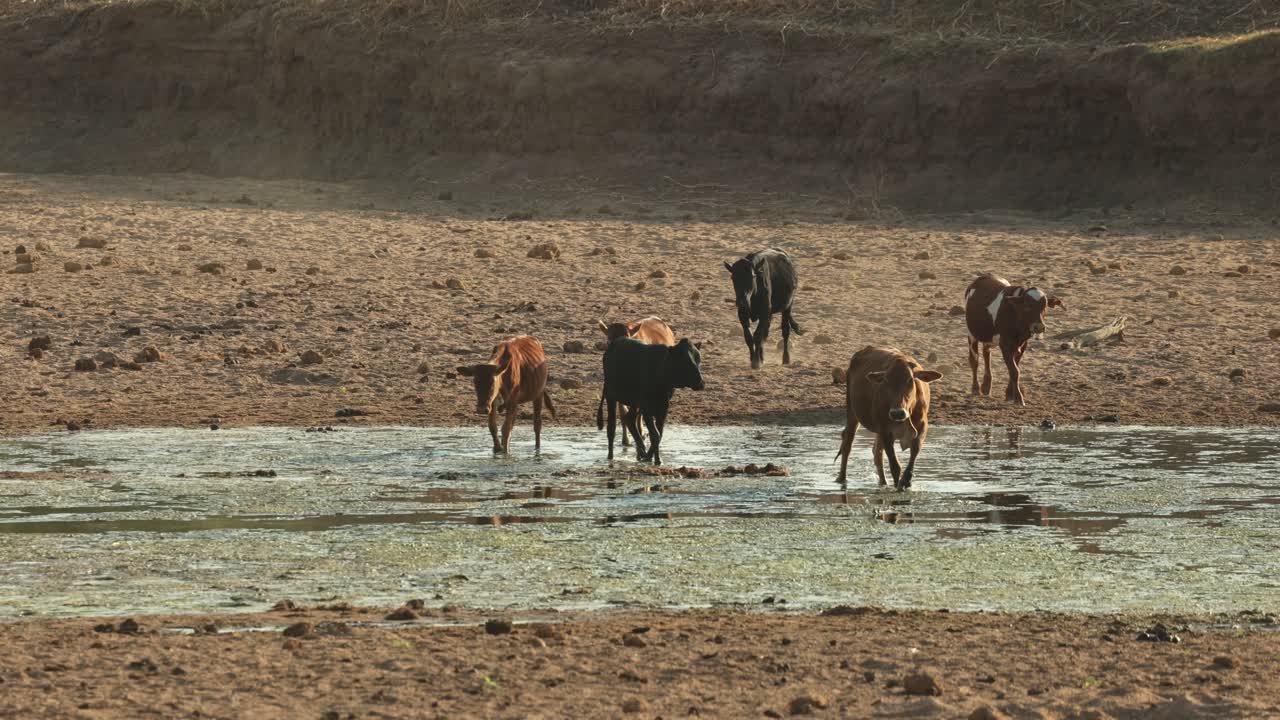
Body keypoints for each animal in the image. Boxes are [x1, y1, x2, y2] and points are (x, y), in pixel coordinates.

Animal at [835, 346, 942, 491]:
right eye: (885, 381)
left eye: (910, 380)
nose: (897, 413)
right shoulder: (886, 431)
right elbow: (895, 466)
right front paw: (897, 487)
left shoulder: (922, 428)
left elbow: (914, 452)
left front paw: (906, 481)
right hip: (852, 412)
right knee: (848, 445)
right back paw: (842, 479)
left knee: (877, 454)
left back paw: (883, 483)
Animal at [964, 273, 1063, 406]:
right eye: (1027, 305)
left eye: (1045, 306)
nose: (1038, 327)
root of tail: (983, 277)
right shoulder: (1005, 345)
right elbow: (1014, 371)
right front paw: (1019, 398)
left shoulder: (1022, 345)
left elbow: (1015, 368)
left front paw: (1009, 394)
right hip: (972, 334)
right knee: (974, 360)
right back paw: (975, 388)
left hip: (988, 337)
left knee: (986, 353)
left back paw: (986, 386)